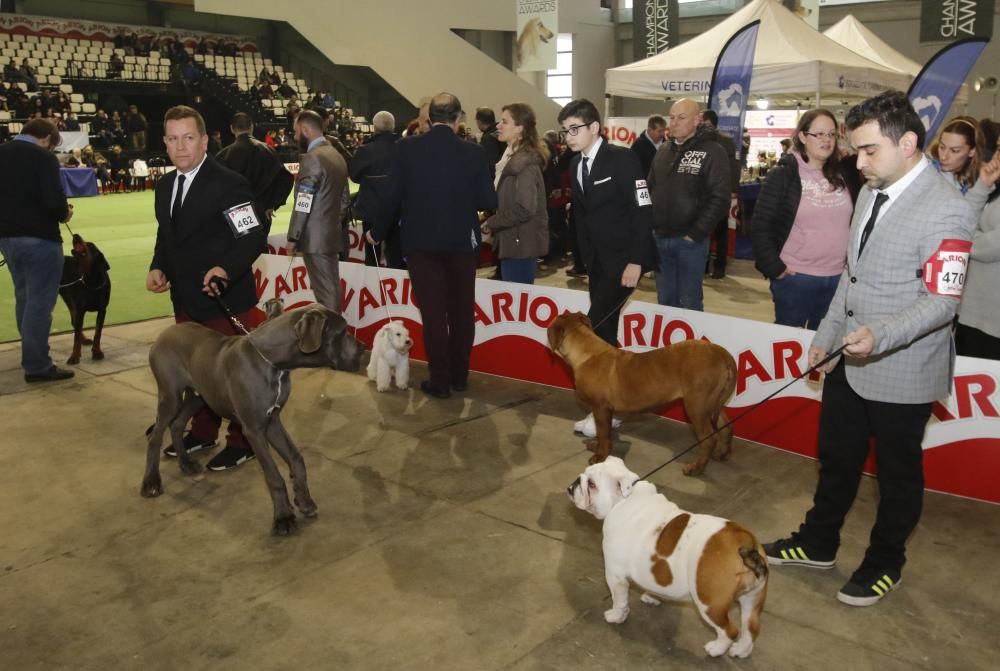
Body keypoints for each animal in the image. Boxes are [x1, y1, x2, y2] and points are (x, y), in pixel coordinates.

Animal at [58, 234, 111, 364]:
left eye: (90, 245)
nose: (75, 235)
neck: (92, 282)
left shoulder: (102, 310)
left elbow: (98, 333)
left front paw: (97, 352)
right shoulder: (80, 309)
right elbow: (76, 337)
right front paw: (74, 356)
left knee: (74, 321)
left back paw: (85, 340)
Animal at [548, 314, 736, 476]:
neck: (586, 353)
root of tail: (722, 353)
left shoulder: (600, 408)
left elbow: (603, 433)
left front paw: (600, 456)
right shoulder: (605, 410)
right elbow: (605, 434)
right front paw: (597, 446)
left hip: (696, 406)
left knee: (708, 439)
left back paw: (696, 468)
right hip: (712, 403)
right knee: (725, 426)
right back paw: (722, 454)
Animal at [568, 456, 768, 656]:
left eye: (592, 484)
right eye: (585, 473)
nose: (573, 484)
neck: (623, 500)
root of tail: (746, 544)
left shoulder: (615, 576)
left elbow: (619, 600)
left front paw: (616, 616)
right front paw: (652, 597)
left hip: (709, 603)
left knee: (730, 630)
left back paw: (716, 648)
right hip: (753, 598)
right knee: (751, 627)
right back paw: (741, 650)